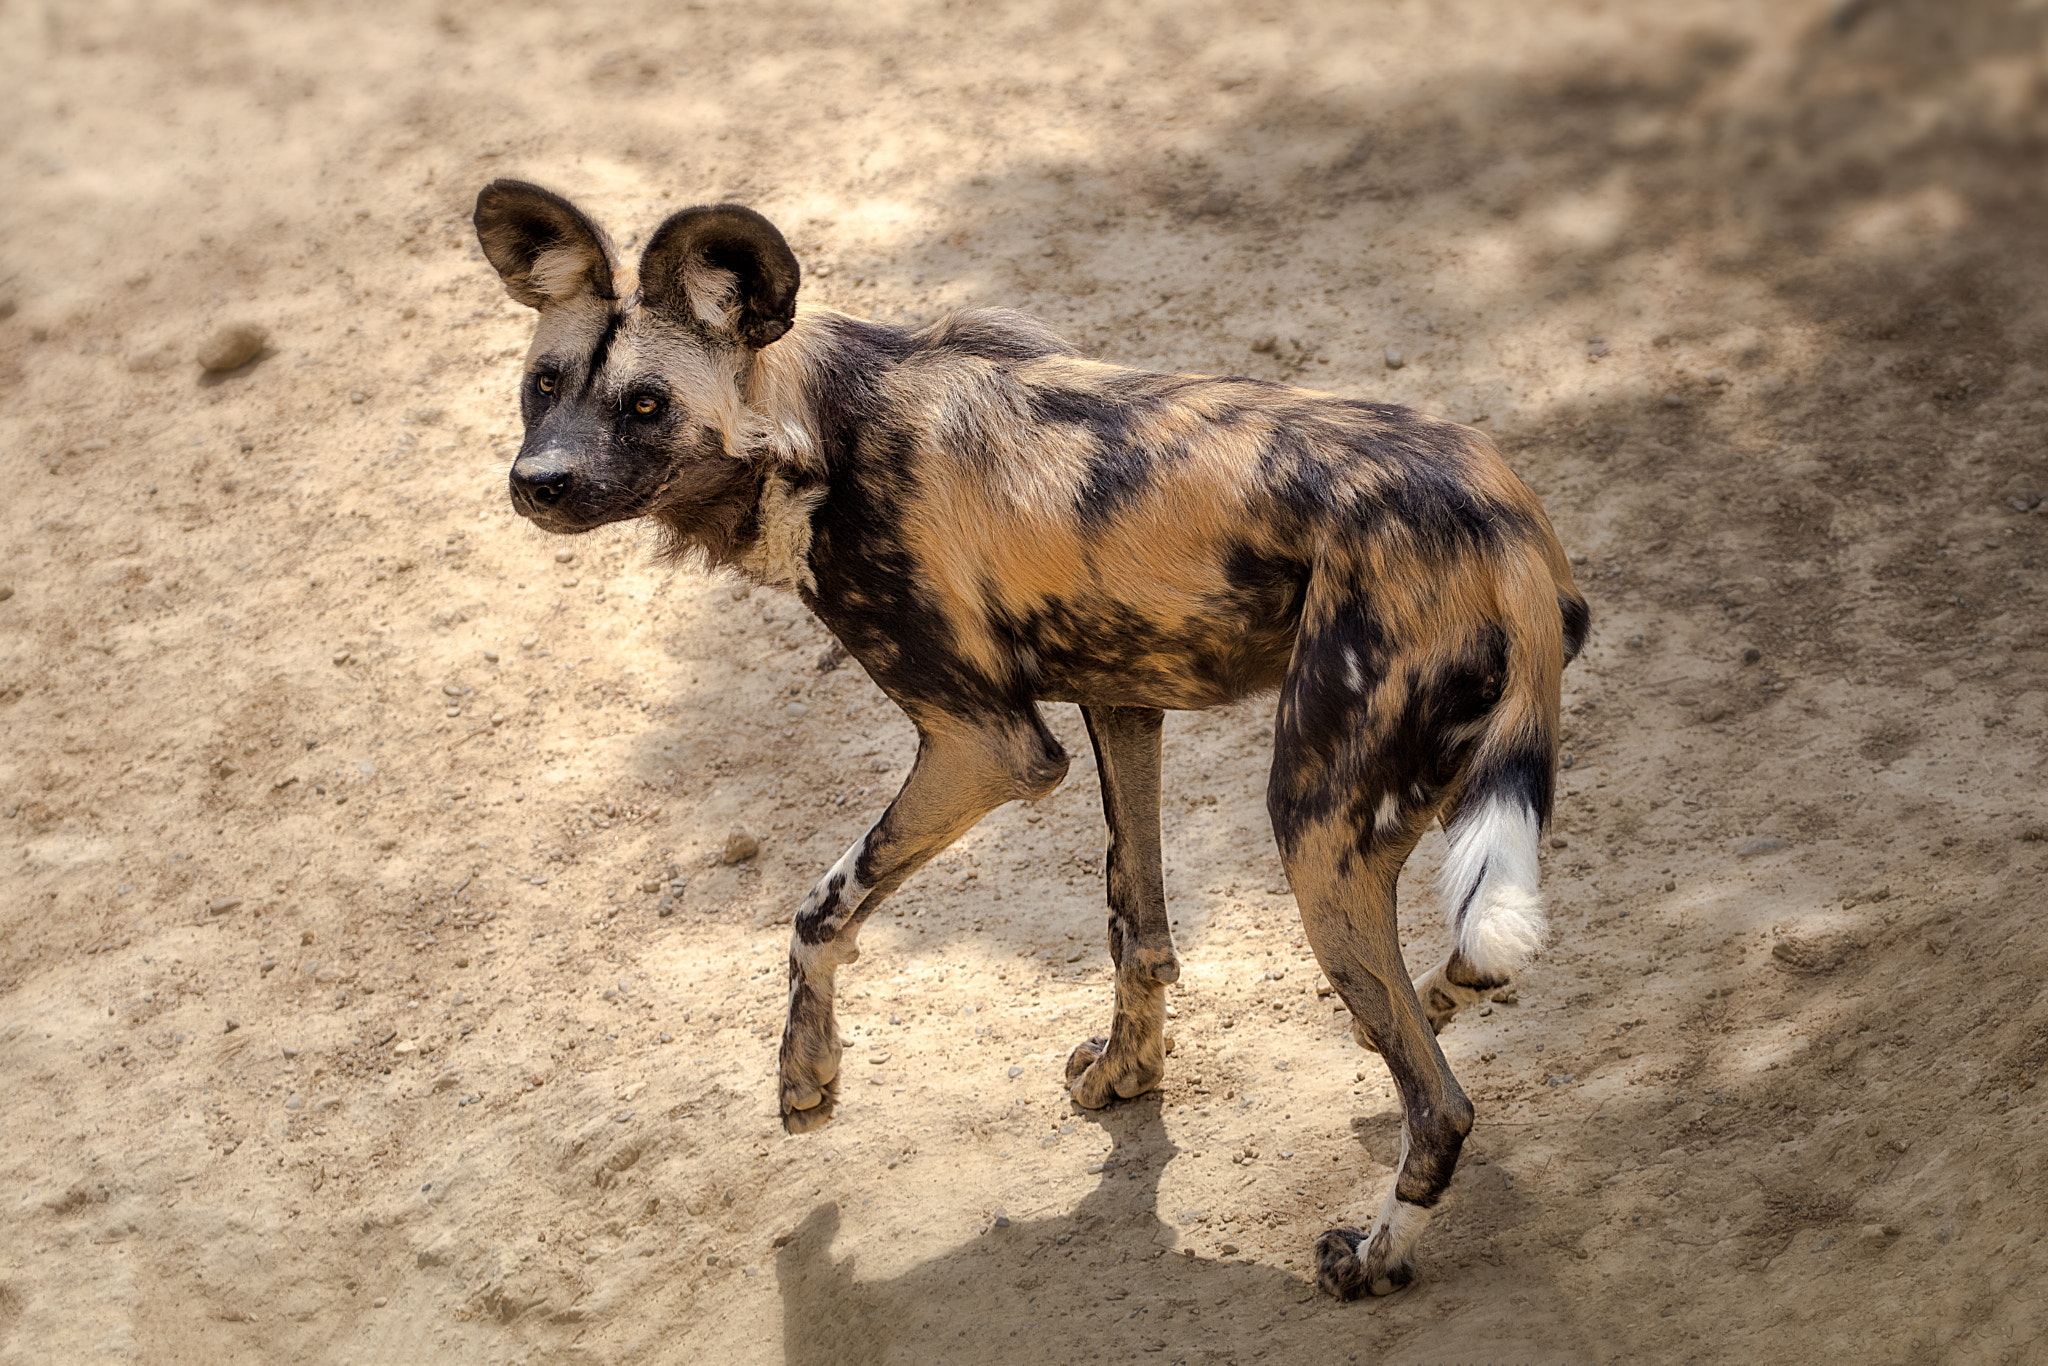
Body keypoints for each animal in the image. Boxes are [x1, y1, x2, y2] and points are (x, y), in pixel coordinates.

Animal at [471, 181, 1589, 1302]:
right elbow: (1136, 927)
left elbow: (818, 909)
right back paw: (1434, 1003)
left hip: (1311, 824)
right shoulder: (1120, 698)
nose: (538, 482)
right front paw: (1127, 1073)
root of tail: (1500, 520)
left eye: (645, 404)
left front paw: (806, 1079)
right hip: (1433, 791)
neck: (813, 431)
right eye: (543, 385)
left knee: (1440, 1103)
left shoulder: (986, 746)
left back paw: (1371, 1255)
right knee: (1471, 966)